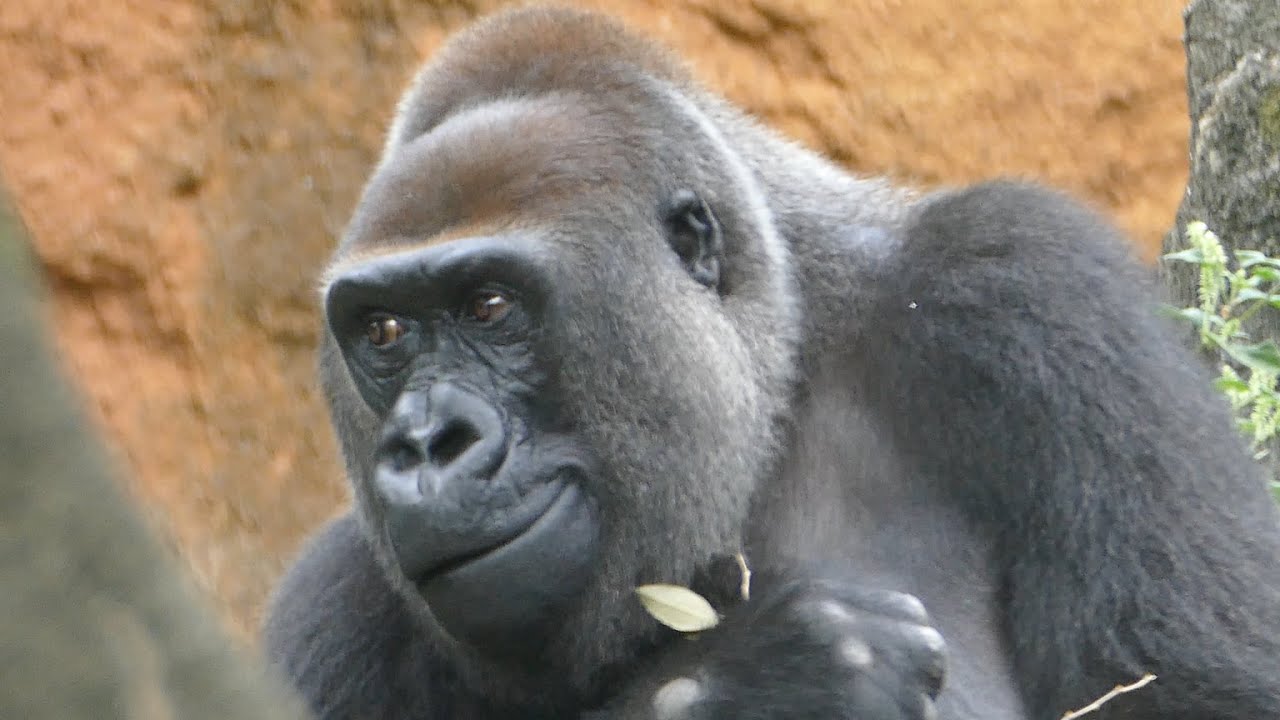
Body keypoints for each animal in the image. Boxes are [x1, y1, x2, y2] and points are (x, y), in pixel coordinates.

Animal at [262, 6, 1280, 719]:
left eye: (490, 306)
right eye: (384, 333)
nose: (429, 443)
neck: (776, 378)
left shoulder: (1027, 291)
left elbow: (1200, 698)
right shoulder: (332, 605)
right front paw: (765, 678)